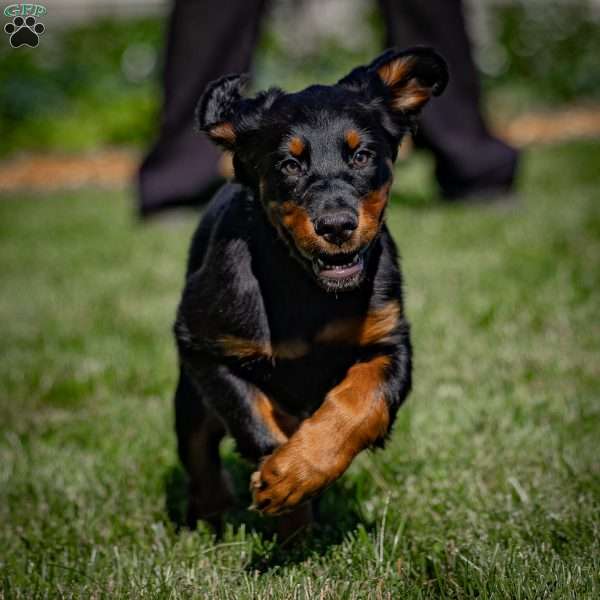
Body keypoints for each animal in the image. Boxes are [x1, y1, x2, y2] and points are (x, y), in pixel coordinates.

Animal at [172, 48, 446, 536]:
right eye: (289, 165)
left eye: (362, 155)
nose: (336, 226)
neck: (310, 289)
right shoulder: (203, 344)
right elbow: (252, 416)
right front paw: (285, 494)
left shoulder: (389, 341)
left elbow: (361, 403)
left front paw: (297, 474)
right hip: (189, 397)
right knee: (199, 448)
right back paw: (209, 514)